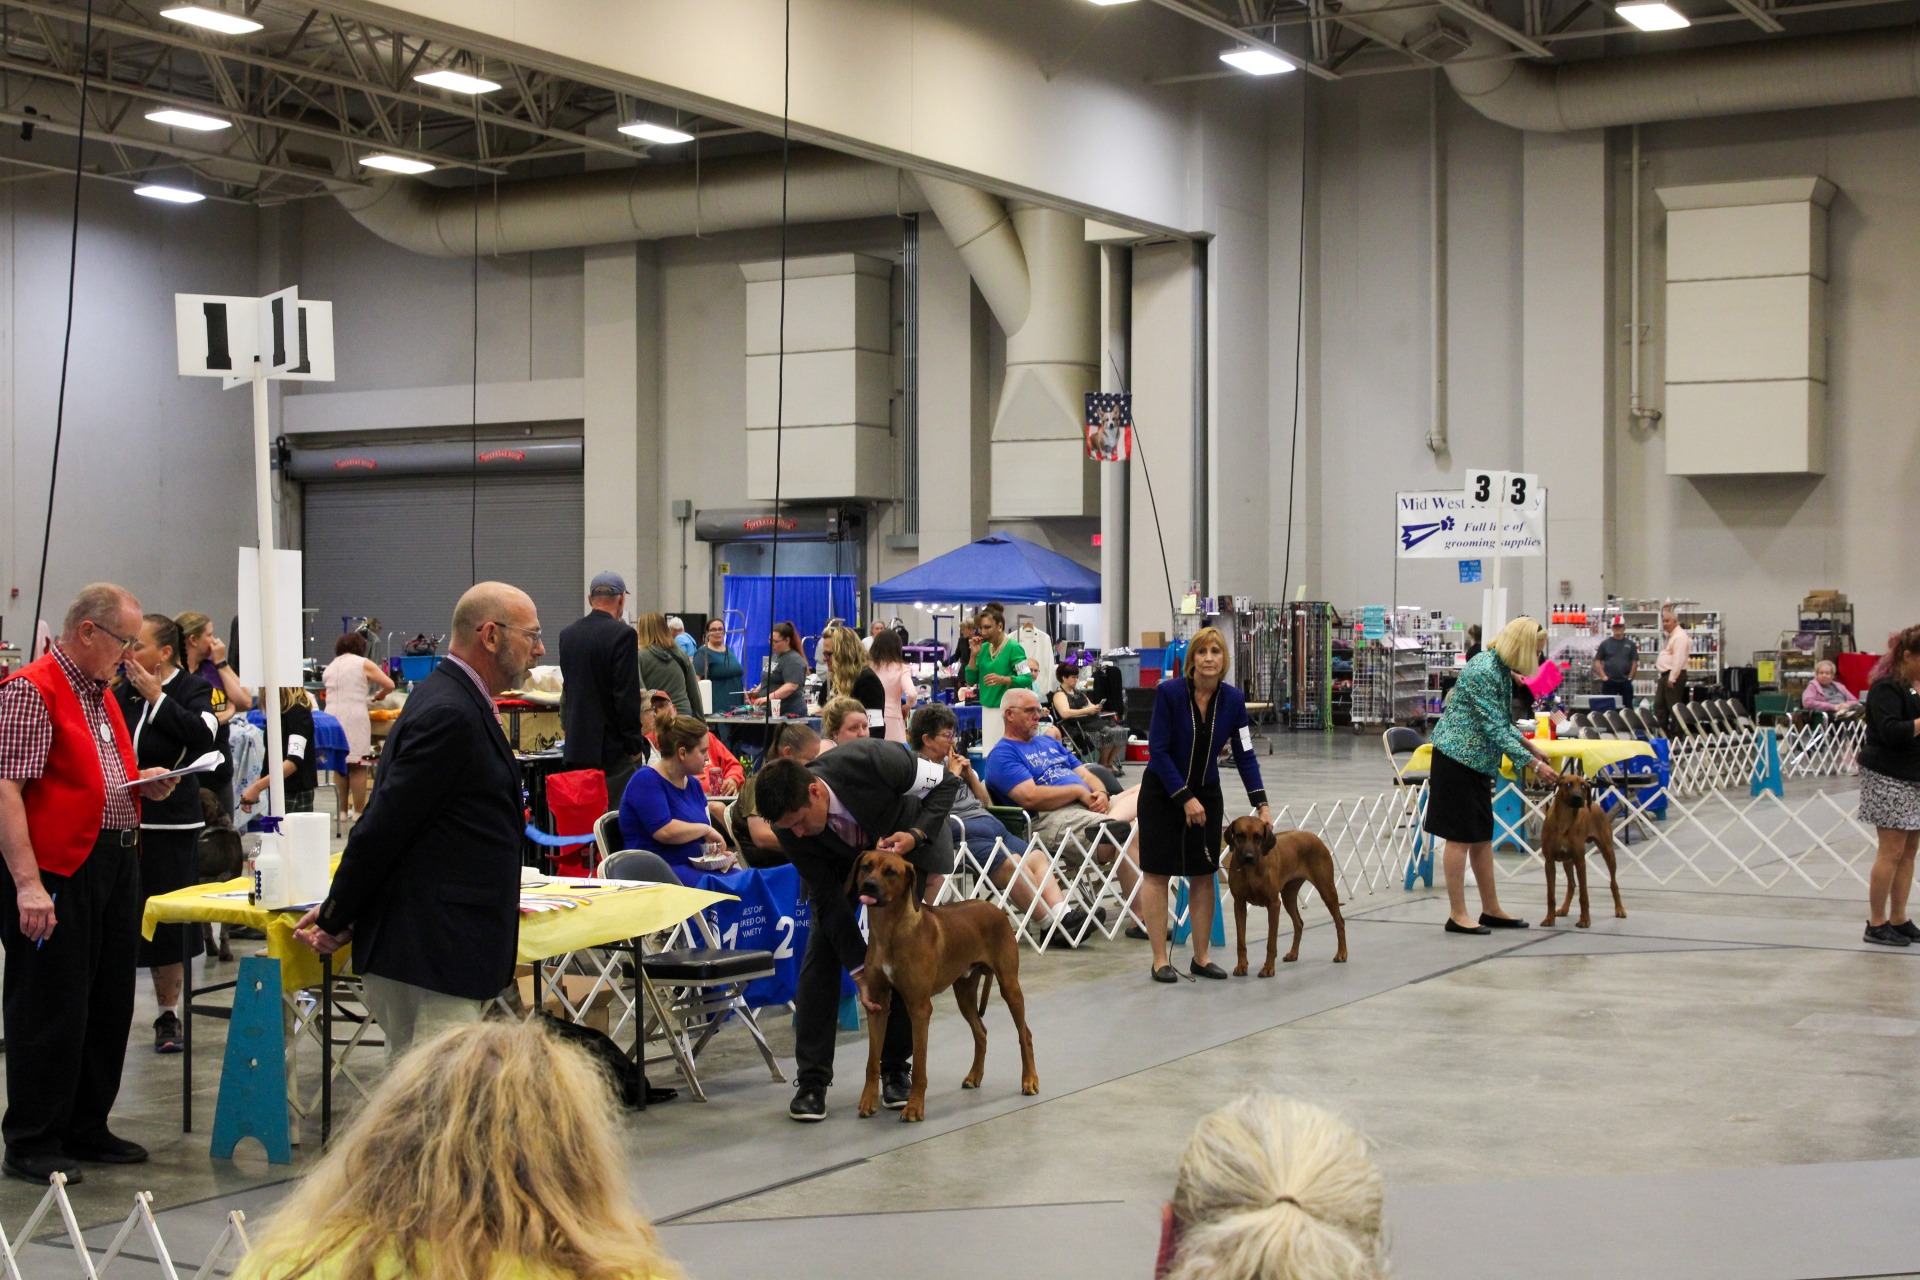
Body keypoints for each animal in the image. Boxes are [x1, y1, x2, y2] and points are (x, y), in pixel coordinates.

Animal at [852, 855, 1044, 1128]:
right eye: (866, 866)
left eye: (891, 872)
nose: (868, 886)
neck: (890, 929)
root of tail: (996, 909)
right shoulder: (877, 1004)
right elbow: (871, 1062)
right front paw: (868, 1101)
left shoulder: (920, 1008)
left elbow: (920, 1065)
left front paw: (914, 1108)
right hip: (963, 992)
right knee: (981, 1032)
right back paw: (975, 1075)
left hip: (1009, 985)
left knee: (1024, 1034)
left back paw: (1029, 1080)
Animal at [1228, 817, 1351, 974]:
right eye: (1240, 835)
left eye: (1258, 837)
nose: (1248, 857)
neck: (1250, 870)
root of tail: (1314, 837)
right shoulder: (1239, 903)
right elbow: (1241, 941)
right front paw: (1242, 966)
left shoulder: (1274, 904)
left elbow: (1271, 942)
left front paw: (1268, 968)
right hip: (1288, 895)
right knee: (1299, 923)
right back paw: (1293, 953)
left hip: (1326, 890)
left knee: (1339, 921)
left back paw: (1341, 953)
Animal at [1536, 771, 1628, 932]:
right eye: (1568, 784)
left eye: (1584, 786)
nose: (1578, 798)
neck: (1564, 820)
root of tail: (1596, 805)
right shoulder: (1549, 863)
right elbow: (1550, 895)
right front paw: (1549, 919)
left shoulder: (1580, 861)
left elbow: (1584, 895)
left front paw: (1584, 920)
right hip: (1567, 861)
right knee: (1572, 885)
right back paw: (1564, 908)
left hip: (1608, 851)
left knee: (1613, 883)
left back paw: (1620, 909)